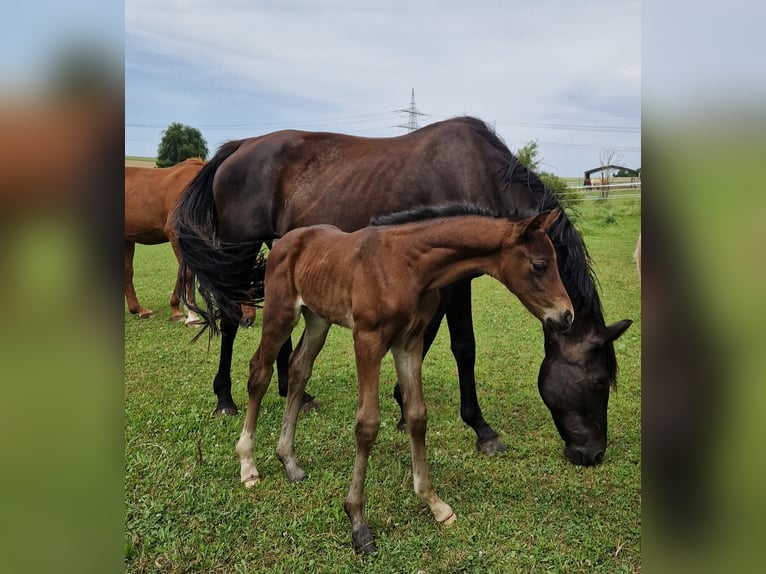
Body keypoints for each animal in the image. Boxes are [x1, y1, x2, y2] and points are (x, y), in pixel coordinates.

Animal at [237, 205, 572, 556]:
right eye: (539, 265)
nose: (566, 316)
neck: (406, 266)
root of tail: (282, 241)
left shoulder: (409, 341)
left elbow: (417, 415)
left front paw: (435, 504)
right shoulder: (367, 339)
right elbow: (367, 424)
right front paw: (358, 522)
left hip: (318, 317)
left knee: (299, 368)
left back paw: (289, 461)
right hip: (280, 312)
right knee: (259, 371)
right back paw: (248, 465)